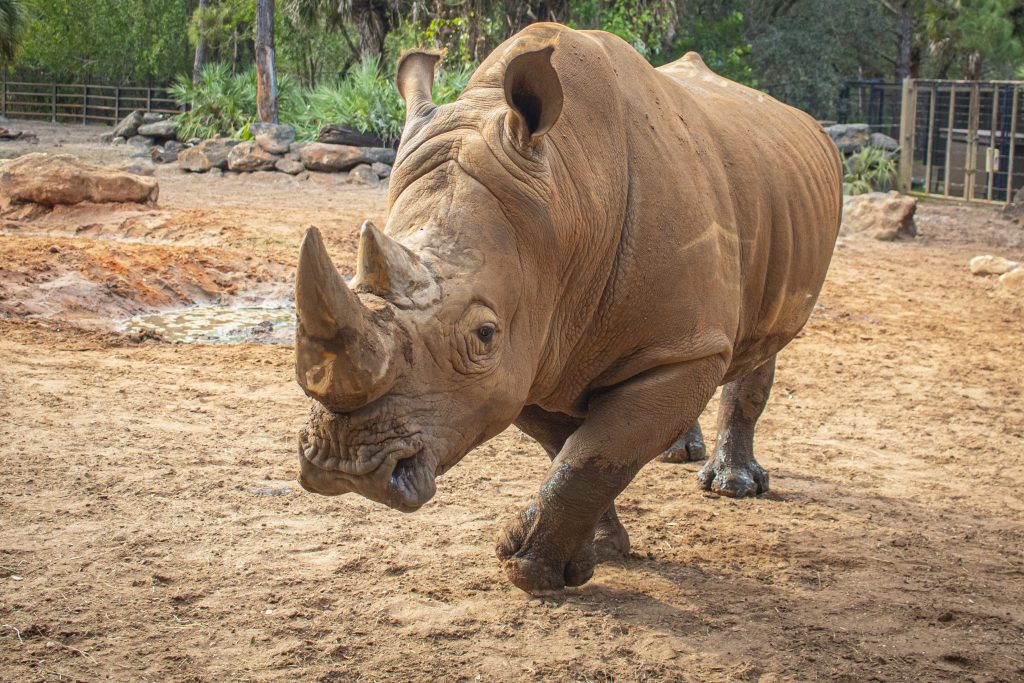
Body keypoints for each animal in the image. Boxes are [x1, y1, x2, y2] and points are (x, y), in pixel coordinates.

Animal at [294, 23, 842, 594]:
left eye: (484, 334)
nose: (347, 466)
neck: (568, 202)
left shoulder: (550, 340)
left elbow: (595, 454)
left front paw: (533, 571)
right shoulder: (533, 347)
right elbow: (573, 449)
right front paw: (593, 551)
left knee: (758, 343)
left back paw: (734, 487)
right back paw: (677, 454)